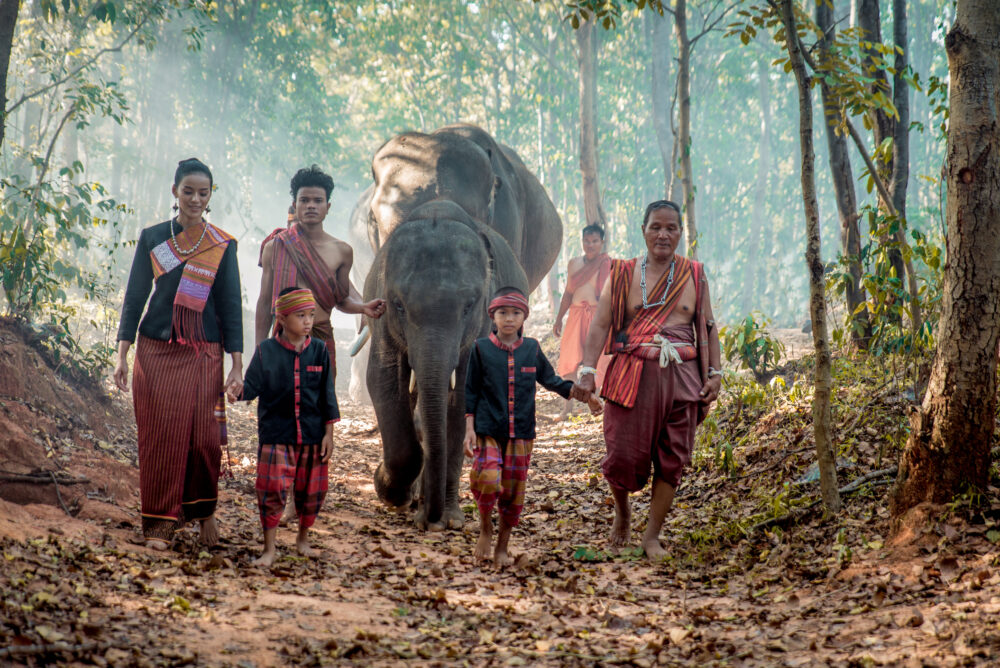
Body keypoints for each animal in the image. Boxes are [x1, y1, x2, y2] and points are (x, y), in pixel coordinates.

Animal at [362, 201, 532, 528]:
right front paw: (390, 492)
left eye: (469, 306)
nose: (431, 518)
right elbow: (383, 380)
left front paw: (450, 519)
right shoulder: (382, 320)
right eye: (399, 305)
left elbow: (463, 396)